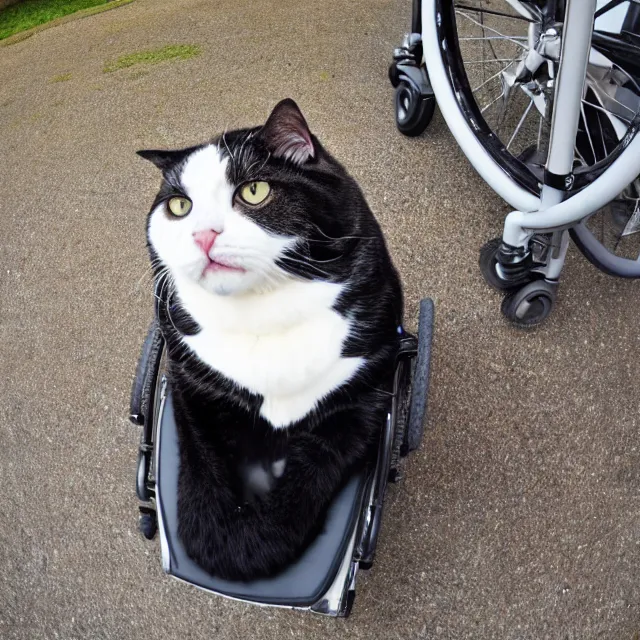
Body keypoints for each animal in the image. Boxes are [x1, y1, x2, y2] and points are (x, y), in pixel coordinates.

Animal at [138, 99, 402, 580]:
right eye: (179, 206)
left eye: (254, 191)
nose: (203, 234)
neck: (264, 309)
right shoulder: (190, 383)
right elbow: (202, 458)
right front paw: (211, 538)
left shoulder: (366, 394)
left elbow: (308, 482)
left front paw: (251, 548)